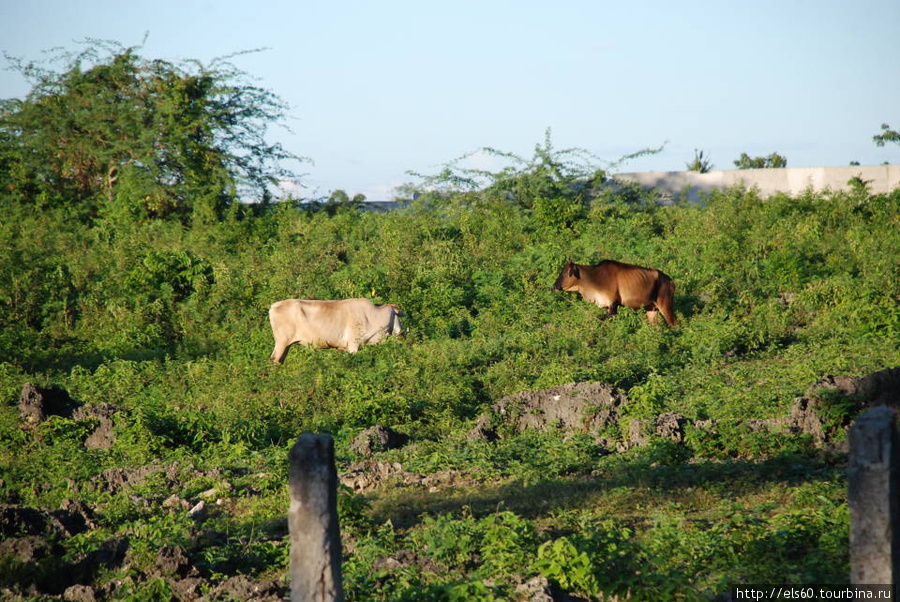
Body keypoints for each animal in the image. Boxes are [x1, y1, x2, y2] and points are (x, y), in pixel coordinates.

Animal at [268, 296, 404, 360]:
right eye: (397, 315)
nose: (402, 333)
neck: (372, 315)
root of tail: (274, 305)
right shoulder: (353, 345)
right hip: (281, 342)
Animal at [552, 256, 680, 326]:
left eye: (566, 273)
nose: (554, 287)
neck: (594, 278)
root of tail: (671, 281)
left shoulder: (612, 305)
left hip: (665, 306)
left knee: (674, 324)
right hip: (651, 309)